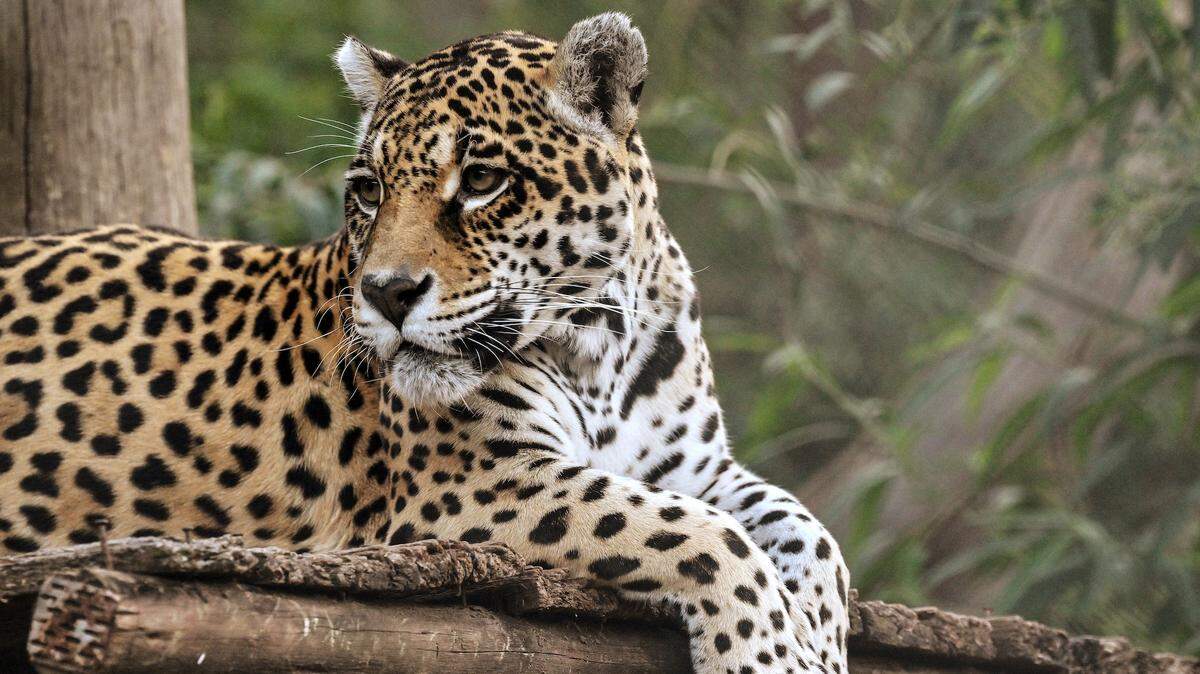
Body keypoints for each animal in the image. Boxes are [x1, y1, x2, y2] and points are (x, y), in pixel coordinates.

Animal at [0, 14, 849, 673]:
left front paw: (819, 637)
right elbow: (704, 536)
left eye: (481, 181)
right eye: (368, 190)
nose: (386, 292)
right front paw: (772, 652)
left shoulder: (692, 466)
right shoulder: (474, 483)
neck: (599, 346)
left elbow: (808, 531)